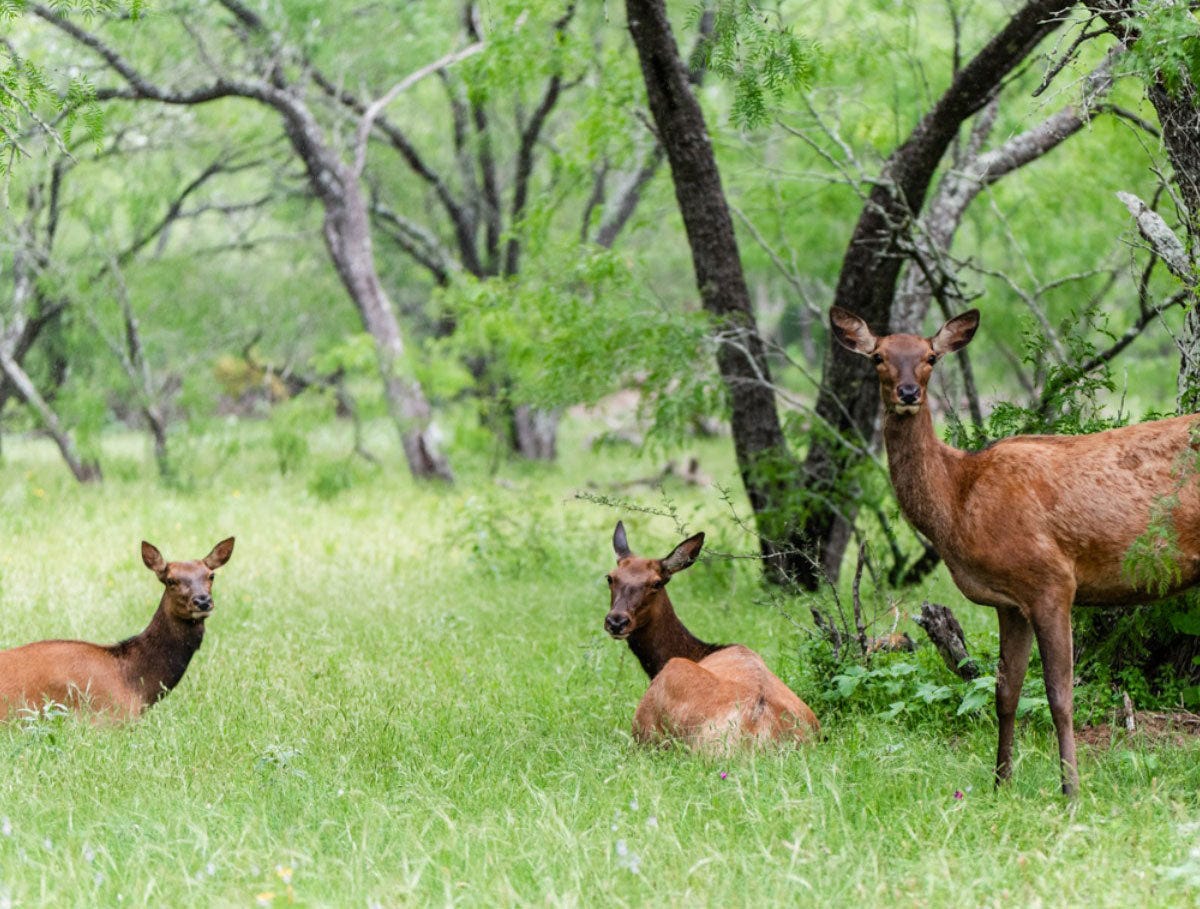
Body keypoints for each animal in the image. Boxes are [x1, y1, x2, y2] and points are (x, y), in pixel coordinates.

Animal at [831, 304, 1200, 795]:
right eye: (878, 357)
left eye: (930, 357)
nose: (908, 393)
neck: (959, 499)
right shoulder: (1010, 602)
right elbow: (1005, 692)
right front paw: (1000, 783)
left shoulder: (1052, 580)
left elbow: (1059, 696)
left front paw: (1071, 790)